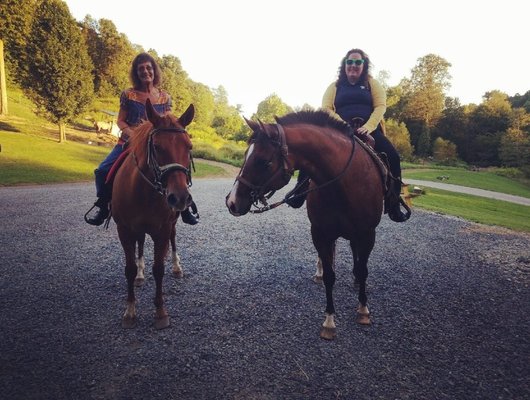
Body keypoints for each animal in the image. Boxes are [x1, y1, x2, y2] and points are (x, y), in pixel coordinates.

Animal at [111, 99, 194, 328]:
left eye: (189, 147)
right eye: (157, 147)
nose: (180, 197)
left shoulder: (163, 230)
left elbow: (159, 269)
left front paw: (160, 311)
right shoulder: (124, 230)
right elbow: (129, 269)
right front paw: (130, 311)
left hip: (171, 225)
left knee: (173, 240)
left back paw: (176, 267)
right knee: (140, 245)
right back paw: (140, 274)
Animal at [225, 110, 386, 340]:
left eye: (263, 162)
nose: (232, 201)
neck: (344, 182)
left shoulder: (367, 234)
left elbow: (363, 270)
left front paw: (363, 310)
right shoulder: (320, 233)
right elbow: (329, 276)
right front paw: (329, 321)